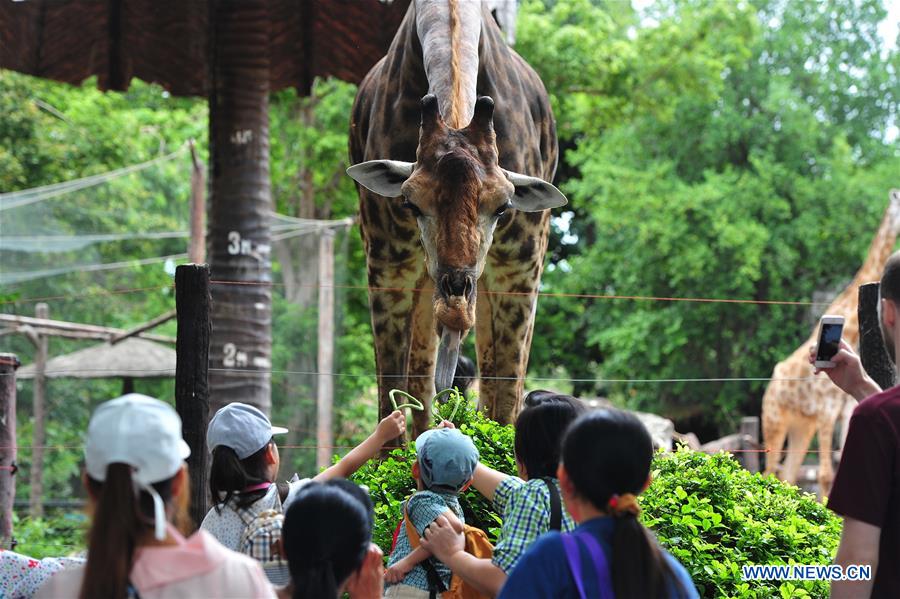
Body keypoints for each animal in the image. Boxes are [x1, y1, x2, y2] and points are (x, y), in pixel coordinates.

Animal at [346, 0, 564, 432]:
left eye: (502, 207)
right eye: (410, 204)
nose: (456, 306)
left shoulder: (520, 269)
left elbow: (505, 397)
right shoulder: (389, 265)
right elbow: (390, 397)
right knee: (420, 375)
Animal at [764, 191, 900, 496]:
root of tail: (769, 387)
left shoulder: (844, 409)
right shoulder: (826, 410)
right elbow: (826, 474)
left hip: (802, 426)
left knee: (788, 473)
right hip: (775, 420)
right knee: (769, 471)